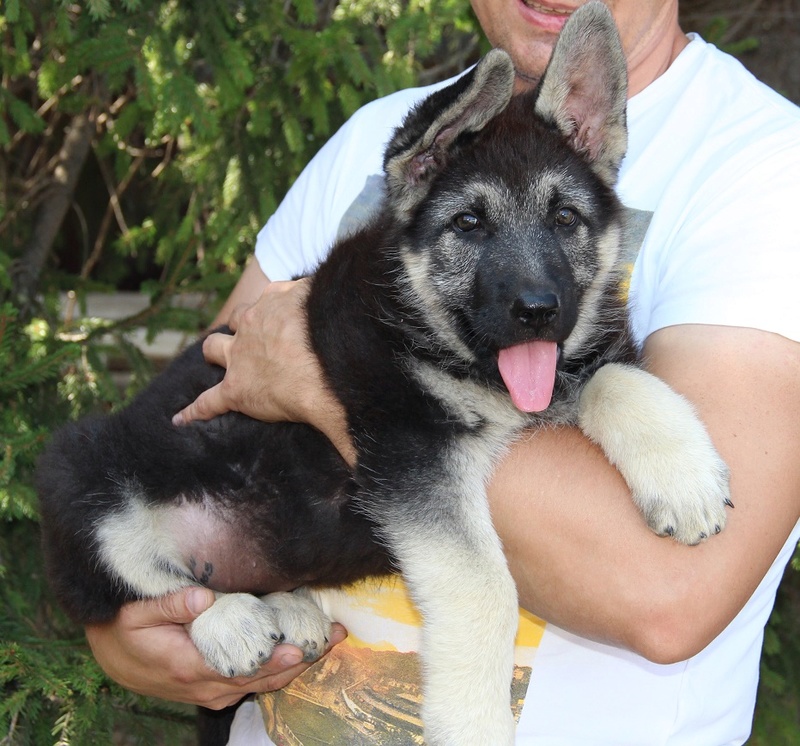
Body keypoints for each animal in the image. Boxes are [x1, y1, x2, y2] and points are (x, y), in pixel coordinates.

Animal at [37, 7, 732, 744]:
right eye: (469, 223)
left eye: (565, 218)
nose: (539, 312)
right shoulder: (407, 443)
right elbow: (487, 589)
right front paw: (475, 722)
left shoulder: (571, 368)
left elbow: (619, 380)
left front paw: (684, 475)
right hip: (76, 467)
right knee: (131, 584)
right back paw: (228, 621)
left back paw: (290, 609)